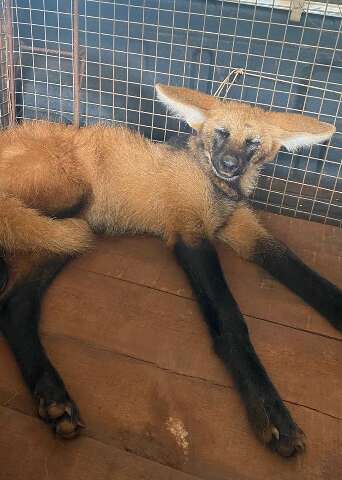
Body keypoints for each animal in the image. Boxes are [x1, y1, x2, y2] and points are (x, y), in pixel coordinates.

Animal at [0, 84, 340, 456]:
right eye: (221, 133)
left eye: (252, 143)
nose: (228, 165)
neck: (217, 190)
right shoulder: (189, 232)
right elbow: (230, 321)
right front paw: (270, 411)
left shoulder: (238, 226)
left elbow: (303, 272)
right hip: (70, 202)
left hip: (62, 236)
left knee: (14, 306)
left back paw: (53, 398)